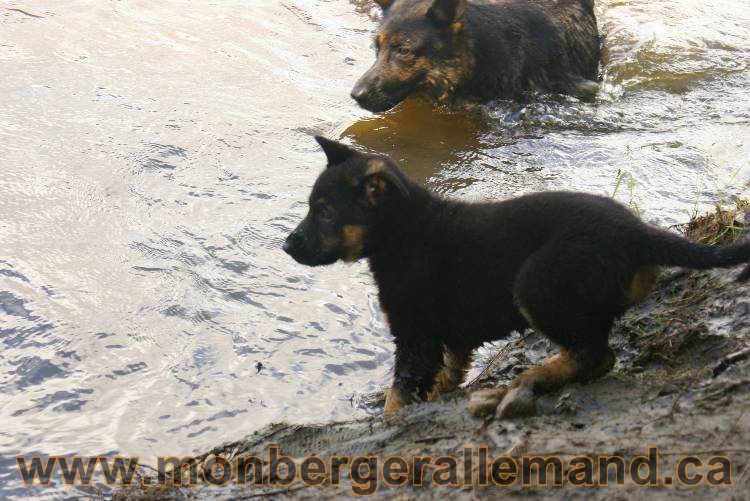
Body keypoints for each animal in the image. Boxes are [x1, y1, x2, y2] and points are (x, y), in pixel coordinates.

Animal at [284, 138, 750, 418]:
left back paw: (537, 376)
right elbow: (443, 376)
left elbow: (401, 392)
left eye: (324, 212)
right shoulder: (447, 339)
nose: (287, 247)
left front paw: (388, 417)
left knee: (597, 355)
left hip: (536, 284)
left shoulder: (415, 334)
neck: (403, 230)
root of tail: (637, 234)